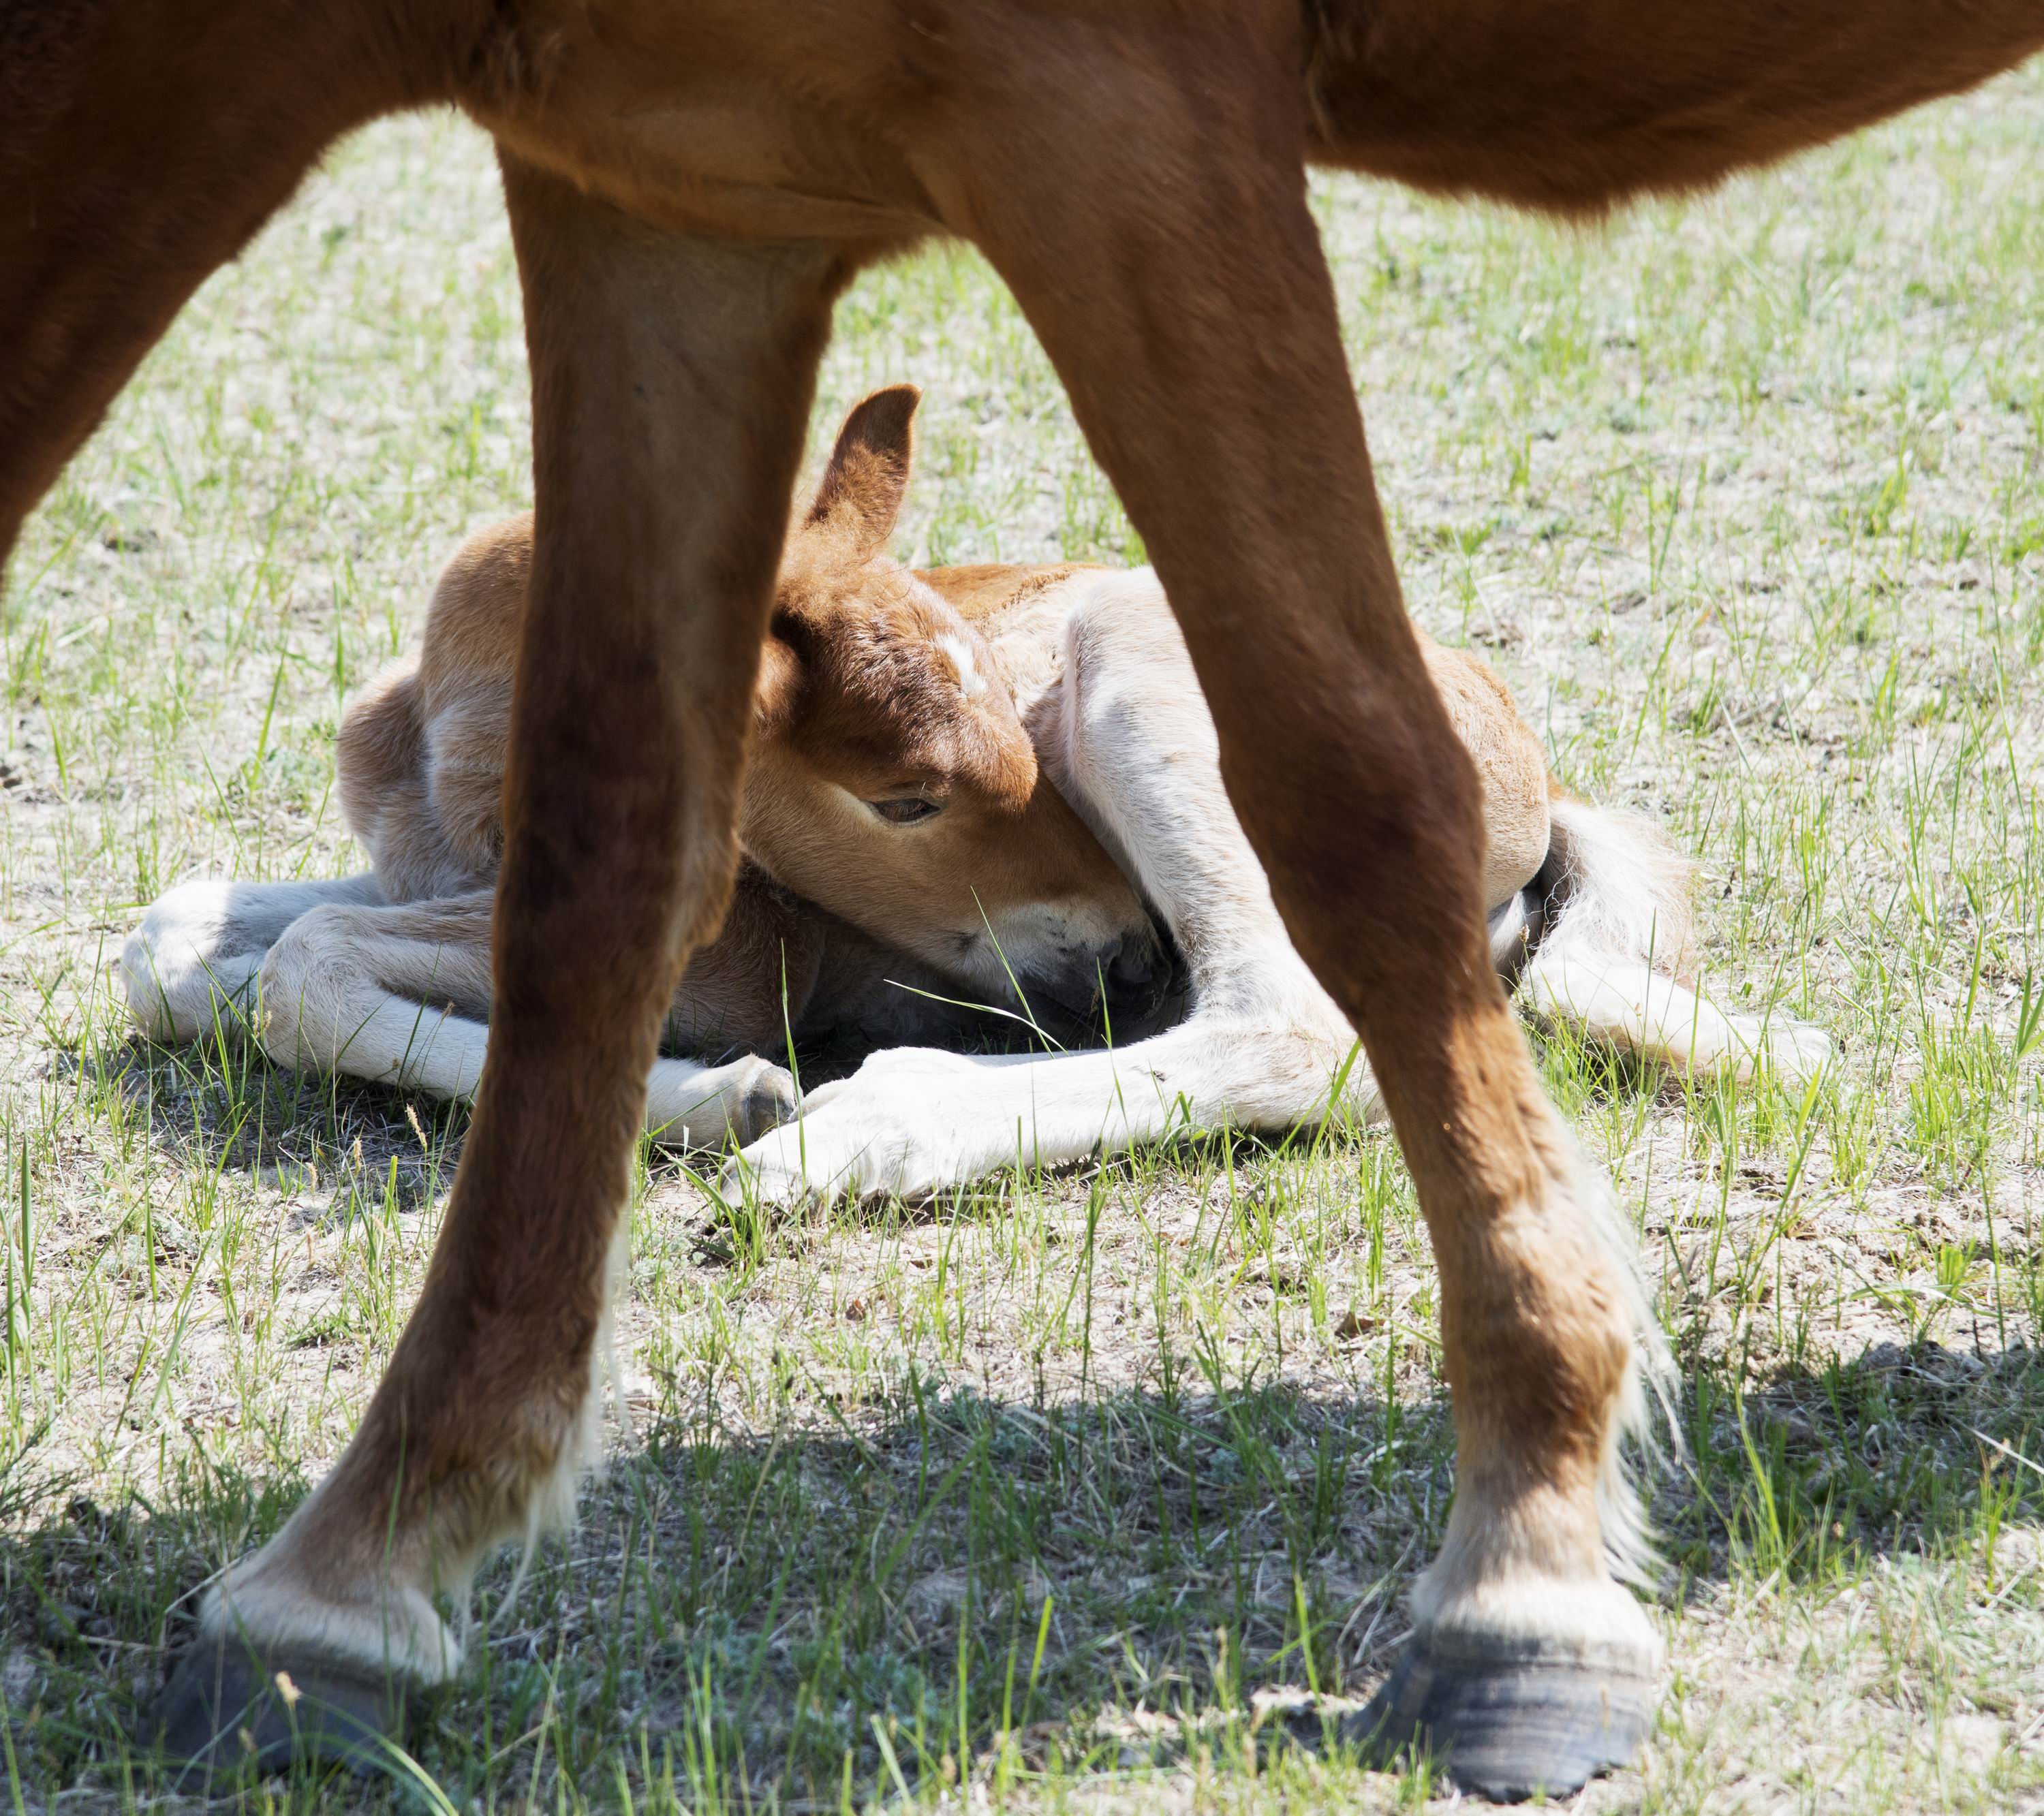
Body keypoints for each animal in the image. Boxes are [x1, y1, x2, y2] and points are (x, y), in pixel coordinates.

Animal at [123, 381, 1840, 1201]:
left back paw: (845, 1141)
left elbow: (299, 964)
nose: (1121, 943)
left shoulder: (728, 948)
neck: (454, 740)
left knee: (1297, 1025)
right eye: (902, 796)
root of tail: (1538, 776)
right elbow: (178, 940)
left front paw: (733, 1098)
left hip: (1147, 679)